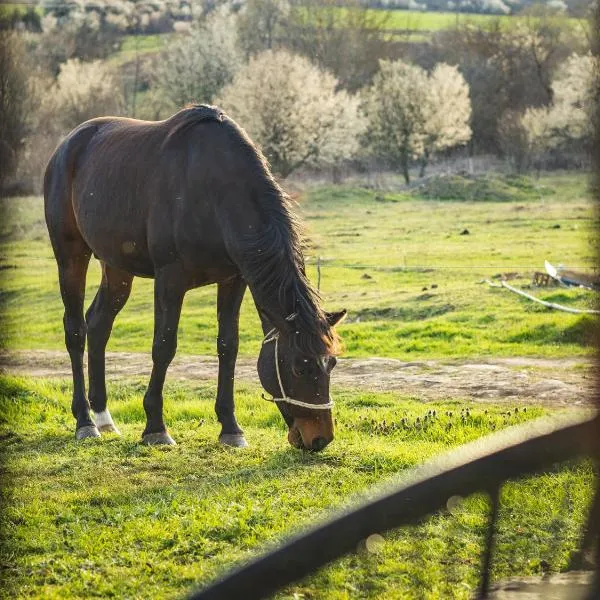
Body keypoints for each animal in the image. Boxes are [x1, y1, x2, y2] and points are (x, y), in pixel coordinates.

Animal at [44, 104, 344, 450]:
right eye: (299, 367)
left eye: (332, 364)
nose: (320, 438)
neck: (215, 193)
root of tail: (66, 145)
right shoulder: (170, 280)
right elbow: (163, 346)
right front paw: (155, 427)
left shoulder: (233, 279)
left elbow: (228, 345)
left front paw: (231, 428)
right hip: (71, 256)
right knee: (76, 330)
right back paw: (85, 421)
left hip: (117, 267)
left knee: (98, 324)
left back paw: (104, 417)